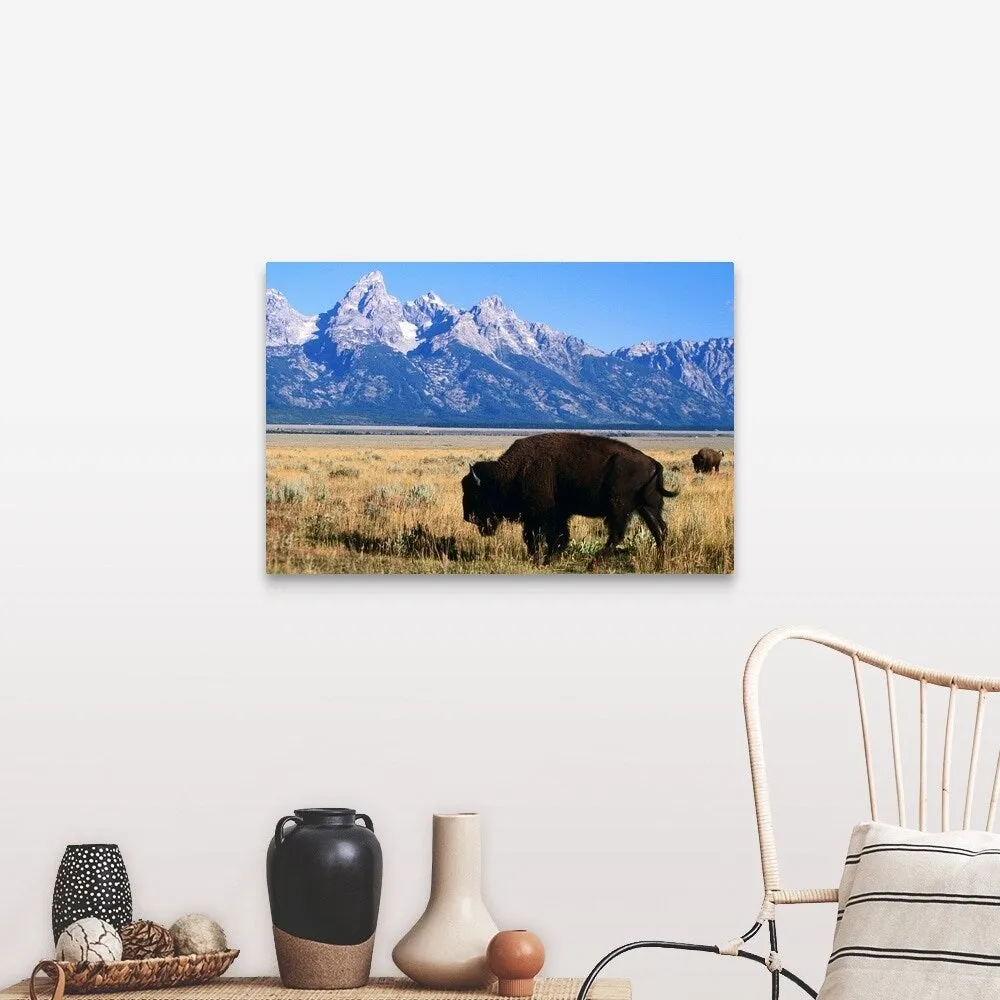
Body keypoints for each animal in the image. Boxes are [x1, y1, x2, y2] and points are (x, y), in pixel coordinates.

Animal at [460, 434, 680, 568]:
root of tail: (654, 463)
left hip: (619, 507)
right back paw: (661, 561)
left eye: (476, 494)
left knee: (618, 535)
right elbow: (559, 537)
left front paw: (541, 559)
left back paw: (593, 564)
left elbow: (537, 537)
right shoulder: (558, 515)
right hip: (648, 507)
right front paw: (548, 558)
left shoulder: (539, 516)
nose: (467, 517)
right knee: (659, 530)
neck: (511, 474)